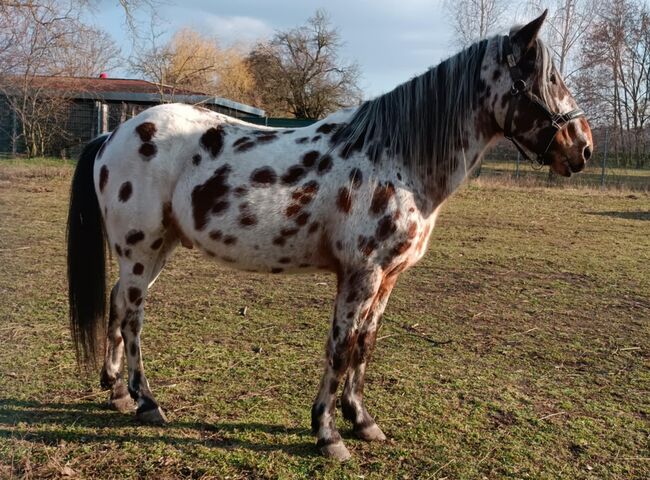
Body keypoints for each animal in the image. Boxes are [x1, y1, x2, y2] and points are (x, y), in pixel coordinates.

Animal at [68, 12, 588, 462]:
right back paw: (148, 402)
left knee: (117, 305)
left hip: (156, 251)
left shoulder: (387, 278)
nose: (582, 146)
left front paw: (363, 422)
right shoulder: (360, 274)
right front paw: (327, 433)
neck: (395, 159)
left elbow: (365, 345)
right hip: (139, 250)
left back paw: (116, 392)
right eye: (544, 79)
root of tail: (114, 135)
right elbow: (340, 347)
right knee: (133, 318)